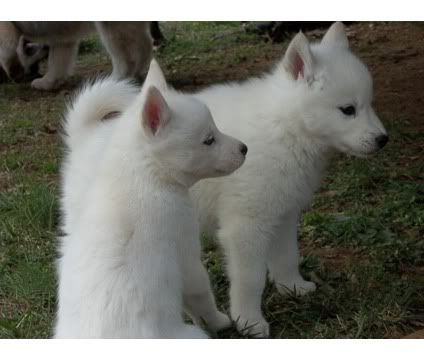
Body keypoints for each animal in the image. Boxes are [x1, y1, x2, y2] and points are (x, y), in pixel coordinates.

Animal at [56, 60, 248, 338]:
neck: (142, 175)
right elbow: (201, 296)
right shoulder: (187, 253)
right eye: (208, 140)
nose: (245, 148)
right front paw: (220, 321)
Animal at [190, 23, 390, 338]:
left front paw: (292, 287)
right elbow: (251, 278)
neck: (284, 127)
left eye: (368, 104)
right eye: (348, 110)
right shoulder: (246, 227)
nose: (383, 140)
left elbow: (286, 255)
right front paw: (249, 321)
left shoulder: (283, 214)